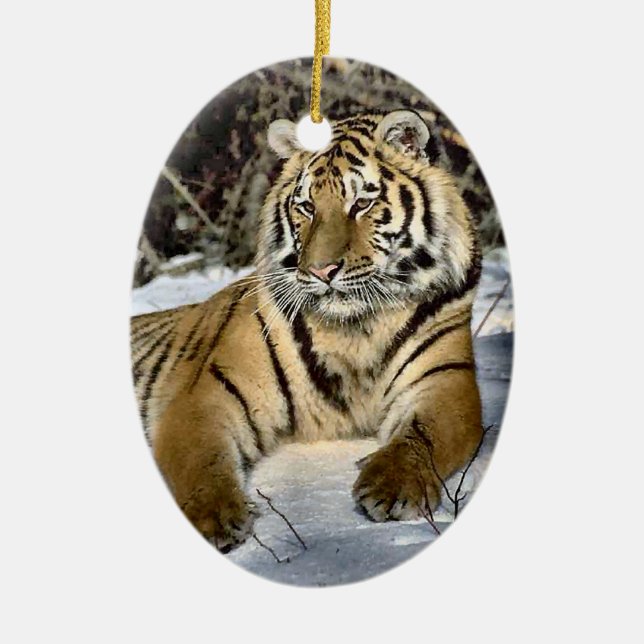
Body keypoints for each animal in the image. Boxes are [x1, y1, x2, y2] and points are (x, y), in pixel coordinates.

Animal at [131, 109, 483, 552]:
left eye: (361, 203)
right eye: (307, 207)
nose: (321, 271)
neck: (356, 329)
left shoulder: (445, 381)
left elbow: (425, 435)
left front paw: (392, 486)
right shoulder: (207, 392)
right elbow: (199, 459)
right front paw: (213, 519)